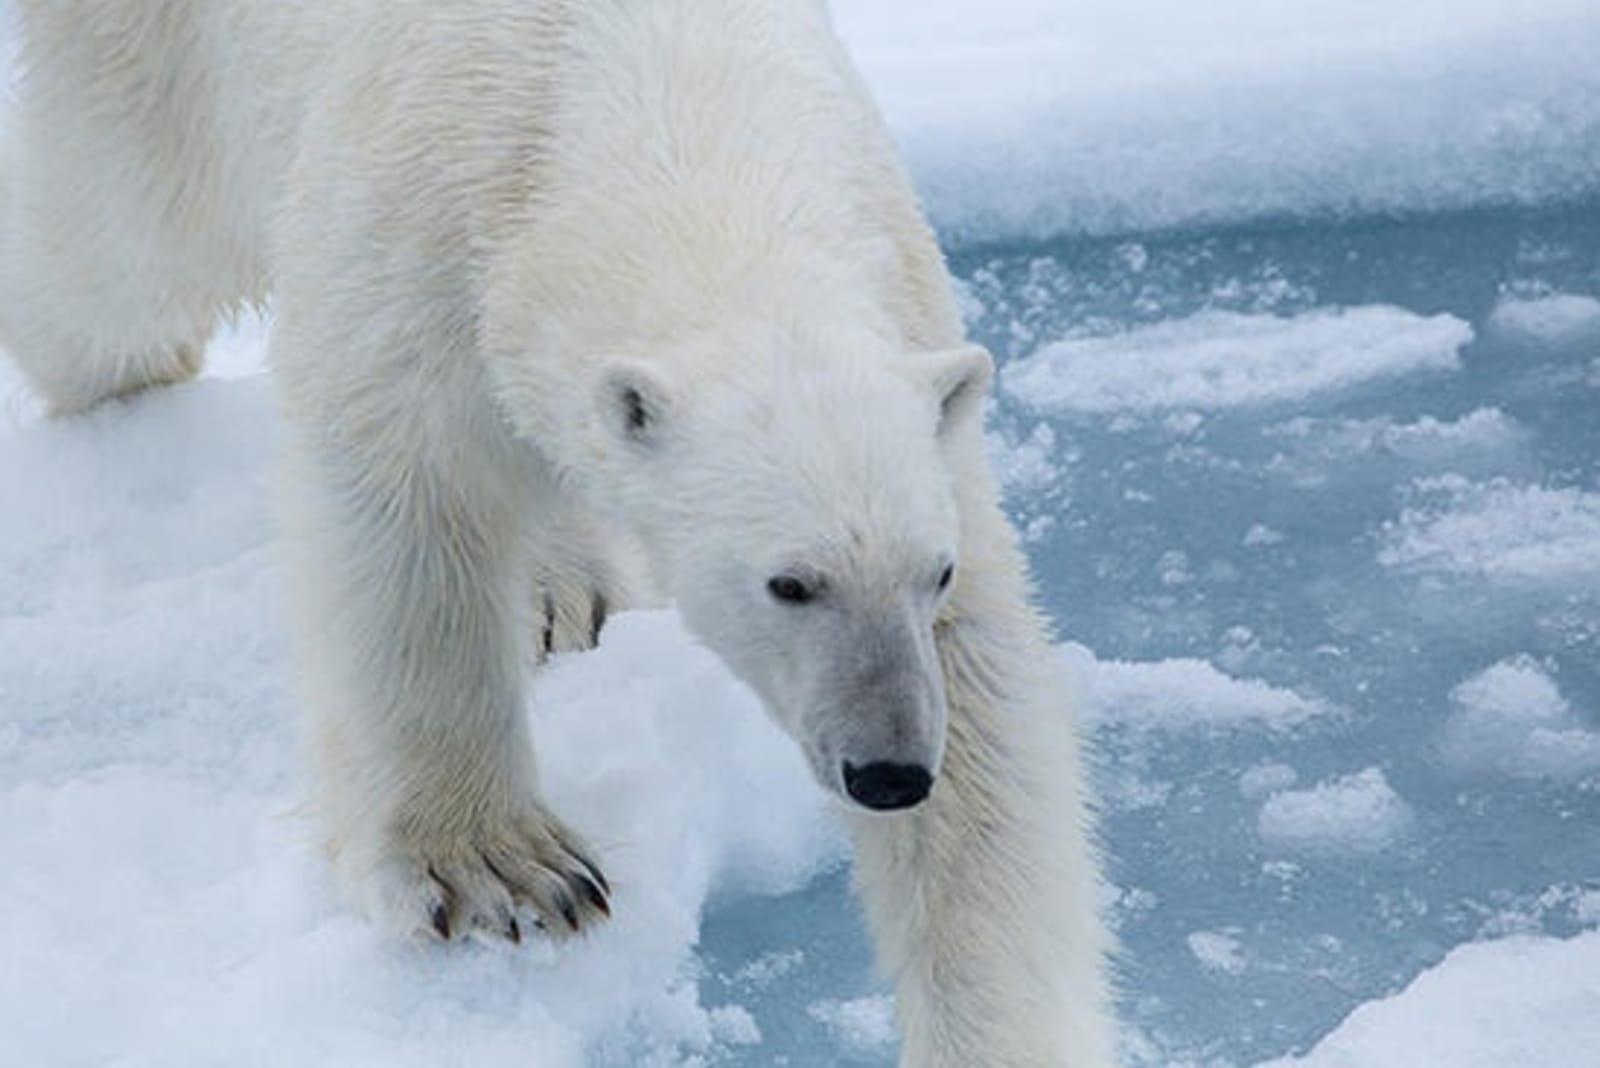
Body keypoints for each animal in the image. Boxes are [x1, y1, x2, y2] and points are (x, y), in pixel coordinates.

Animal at [1, 1, 1117, 1064]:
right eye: (789, 583)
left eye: (934, 573)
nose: (889, 771)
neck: (674, 121)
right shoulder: (419, 226)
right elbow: (406, 514)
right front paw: (498, 869)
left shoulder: (903, 320)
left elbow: (989, 705)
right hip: (152, 70)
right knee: (110, 272)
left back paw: (564, 589)